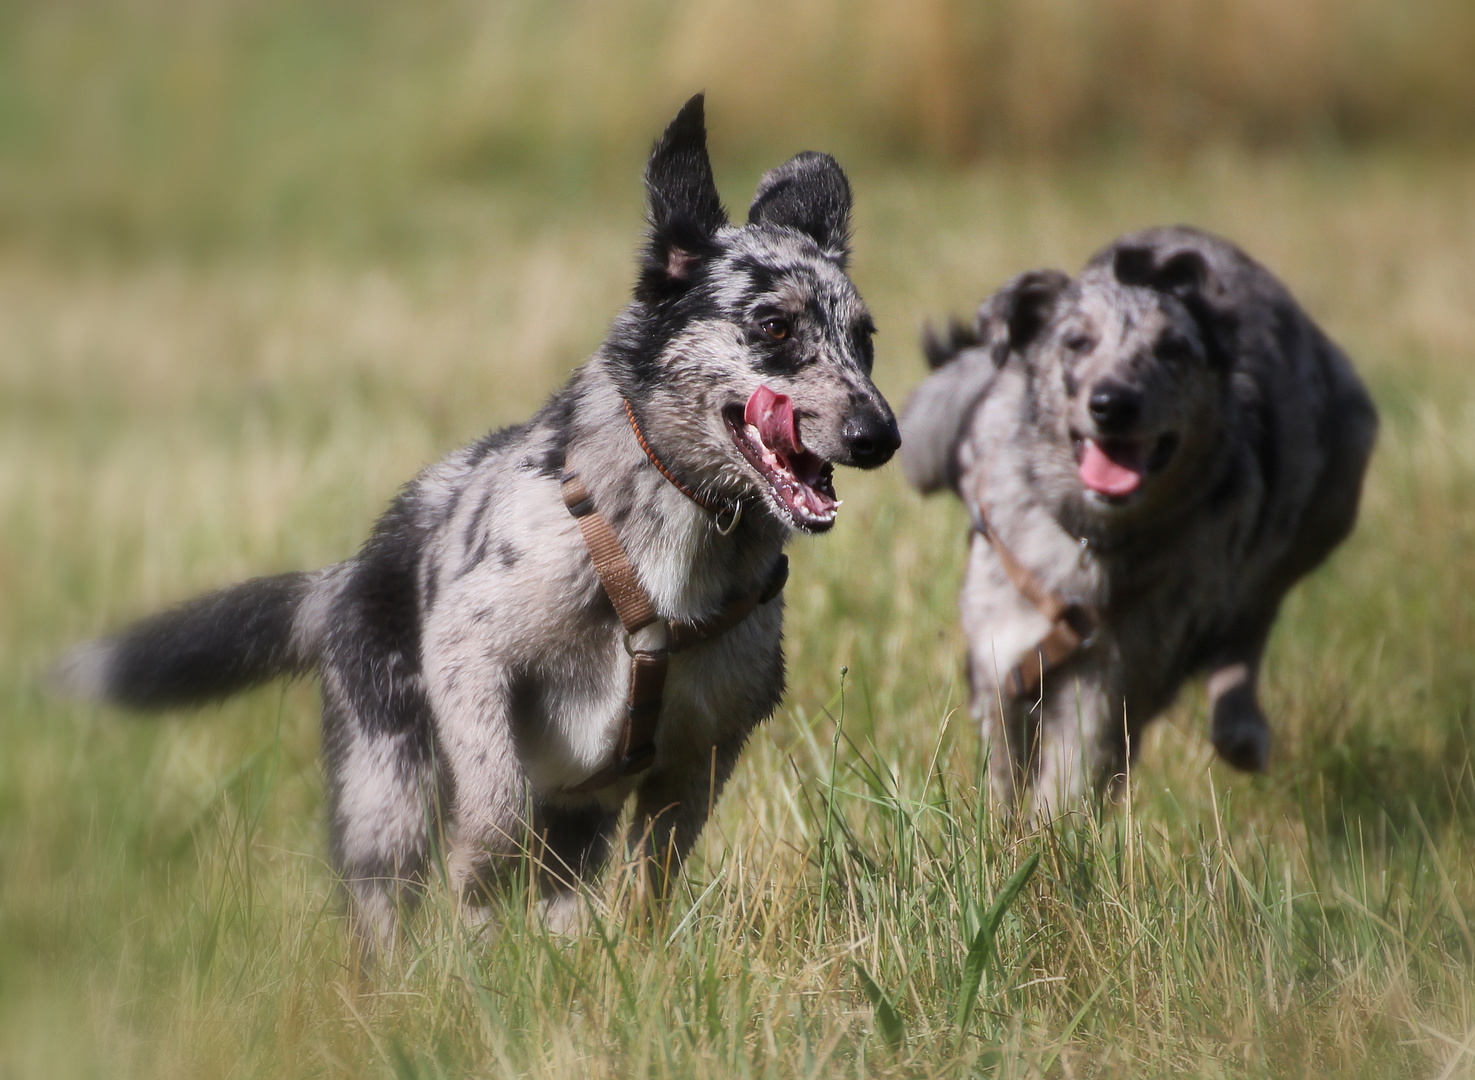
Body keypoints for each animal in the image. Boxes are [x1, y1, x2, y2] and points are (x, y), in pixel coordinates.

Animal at [54, 97, 896, 950]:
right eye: (775, 326)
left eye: (864, 339)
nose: (880, 437)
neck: (669, 552)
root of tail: (346, 579)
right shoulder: (472, 657)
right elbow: (493, 812)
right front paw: (478, 900)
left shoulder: (699, 753)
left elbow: (649, 880)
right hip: (386, 804)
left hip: (573, 823)